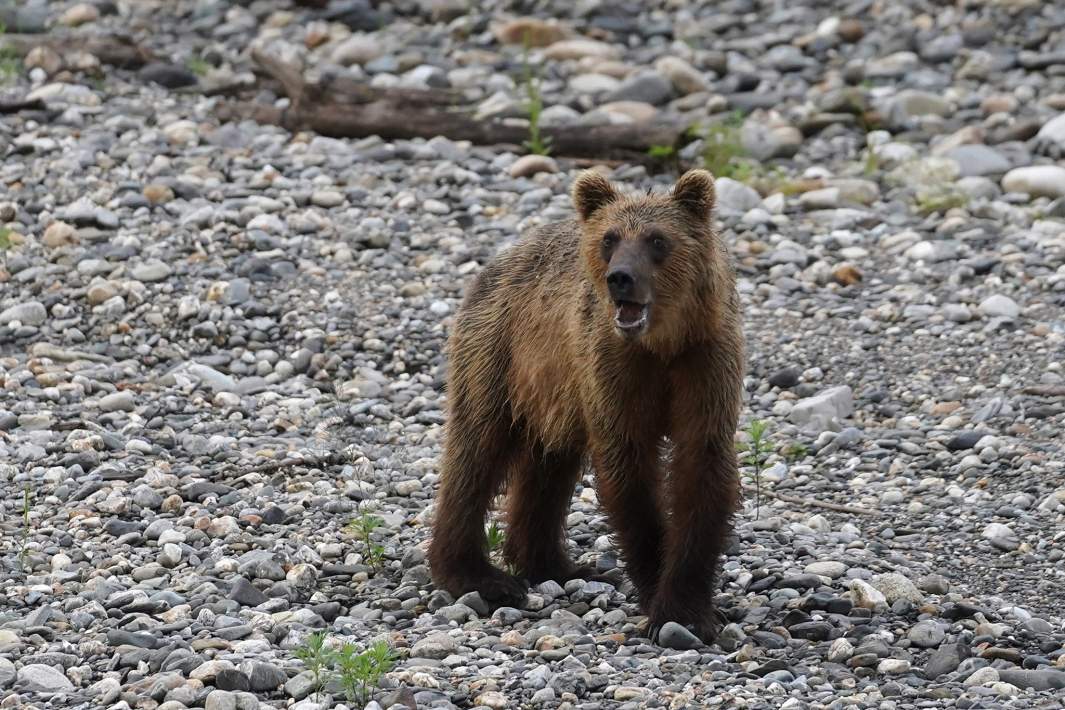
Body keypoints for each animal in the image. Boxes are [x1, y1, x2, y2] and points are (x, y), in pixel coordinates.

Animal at [428, 168, 744, 643]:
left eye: (657, 239)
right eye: (609, 239)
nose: (620, 277)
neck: (661, 344)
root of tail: (500, 259)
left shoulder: (704, 362)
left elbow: (701, 468)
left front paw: (689, 606)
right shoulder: (614, 368)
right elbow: (629, 472)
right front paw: (662, 596)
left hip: (554, 392)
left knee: (547, 467)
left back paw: (553, 564)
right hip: (499, 353)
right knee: (477, 451)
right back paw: (479, 576)